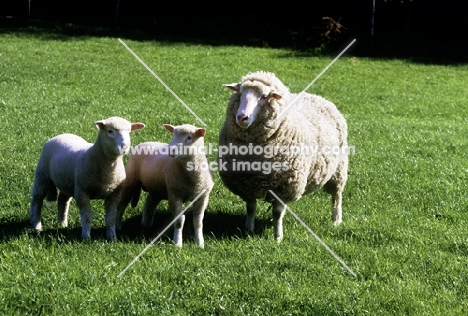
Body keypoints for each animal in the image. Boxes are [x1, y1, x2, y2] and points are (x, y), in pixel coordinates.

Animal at [218, 70, 348, 242]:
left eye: (264, 96)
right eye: (240, 93)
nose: (242, 117)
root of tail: (317, 96)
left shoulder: (285, 186)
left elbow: (278, 212)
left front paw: (277, 238)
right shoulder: (247, 184)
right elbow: (251, 208)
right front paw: (248, 229)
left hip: (339, 170)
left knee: (336, 196)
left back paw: (336, 220)